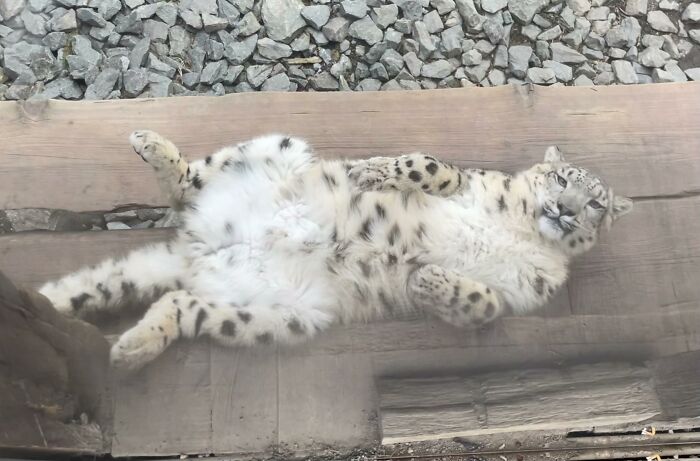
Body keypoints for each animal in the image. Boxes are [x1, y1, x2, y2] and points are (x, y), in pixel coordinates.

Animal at [39, 129, 636, 370]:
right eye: (560, 178)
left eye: (595, 204)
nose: (564, 209)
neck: (519, 229)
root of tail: (199, 249)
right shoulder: (470, 179)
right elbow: (435, 166)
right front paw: (371, 173)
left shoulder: (519, 298)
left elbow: (482, 304)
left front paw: (427, 279)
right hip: (275, 147)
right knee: (185, 184)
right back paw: (151, 145)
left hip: (281, 318)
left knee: (177, 303)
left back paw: (131, 348)